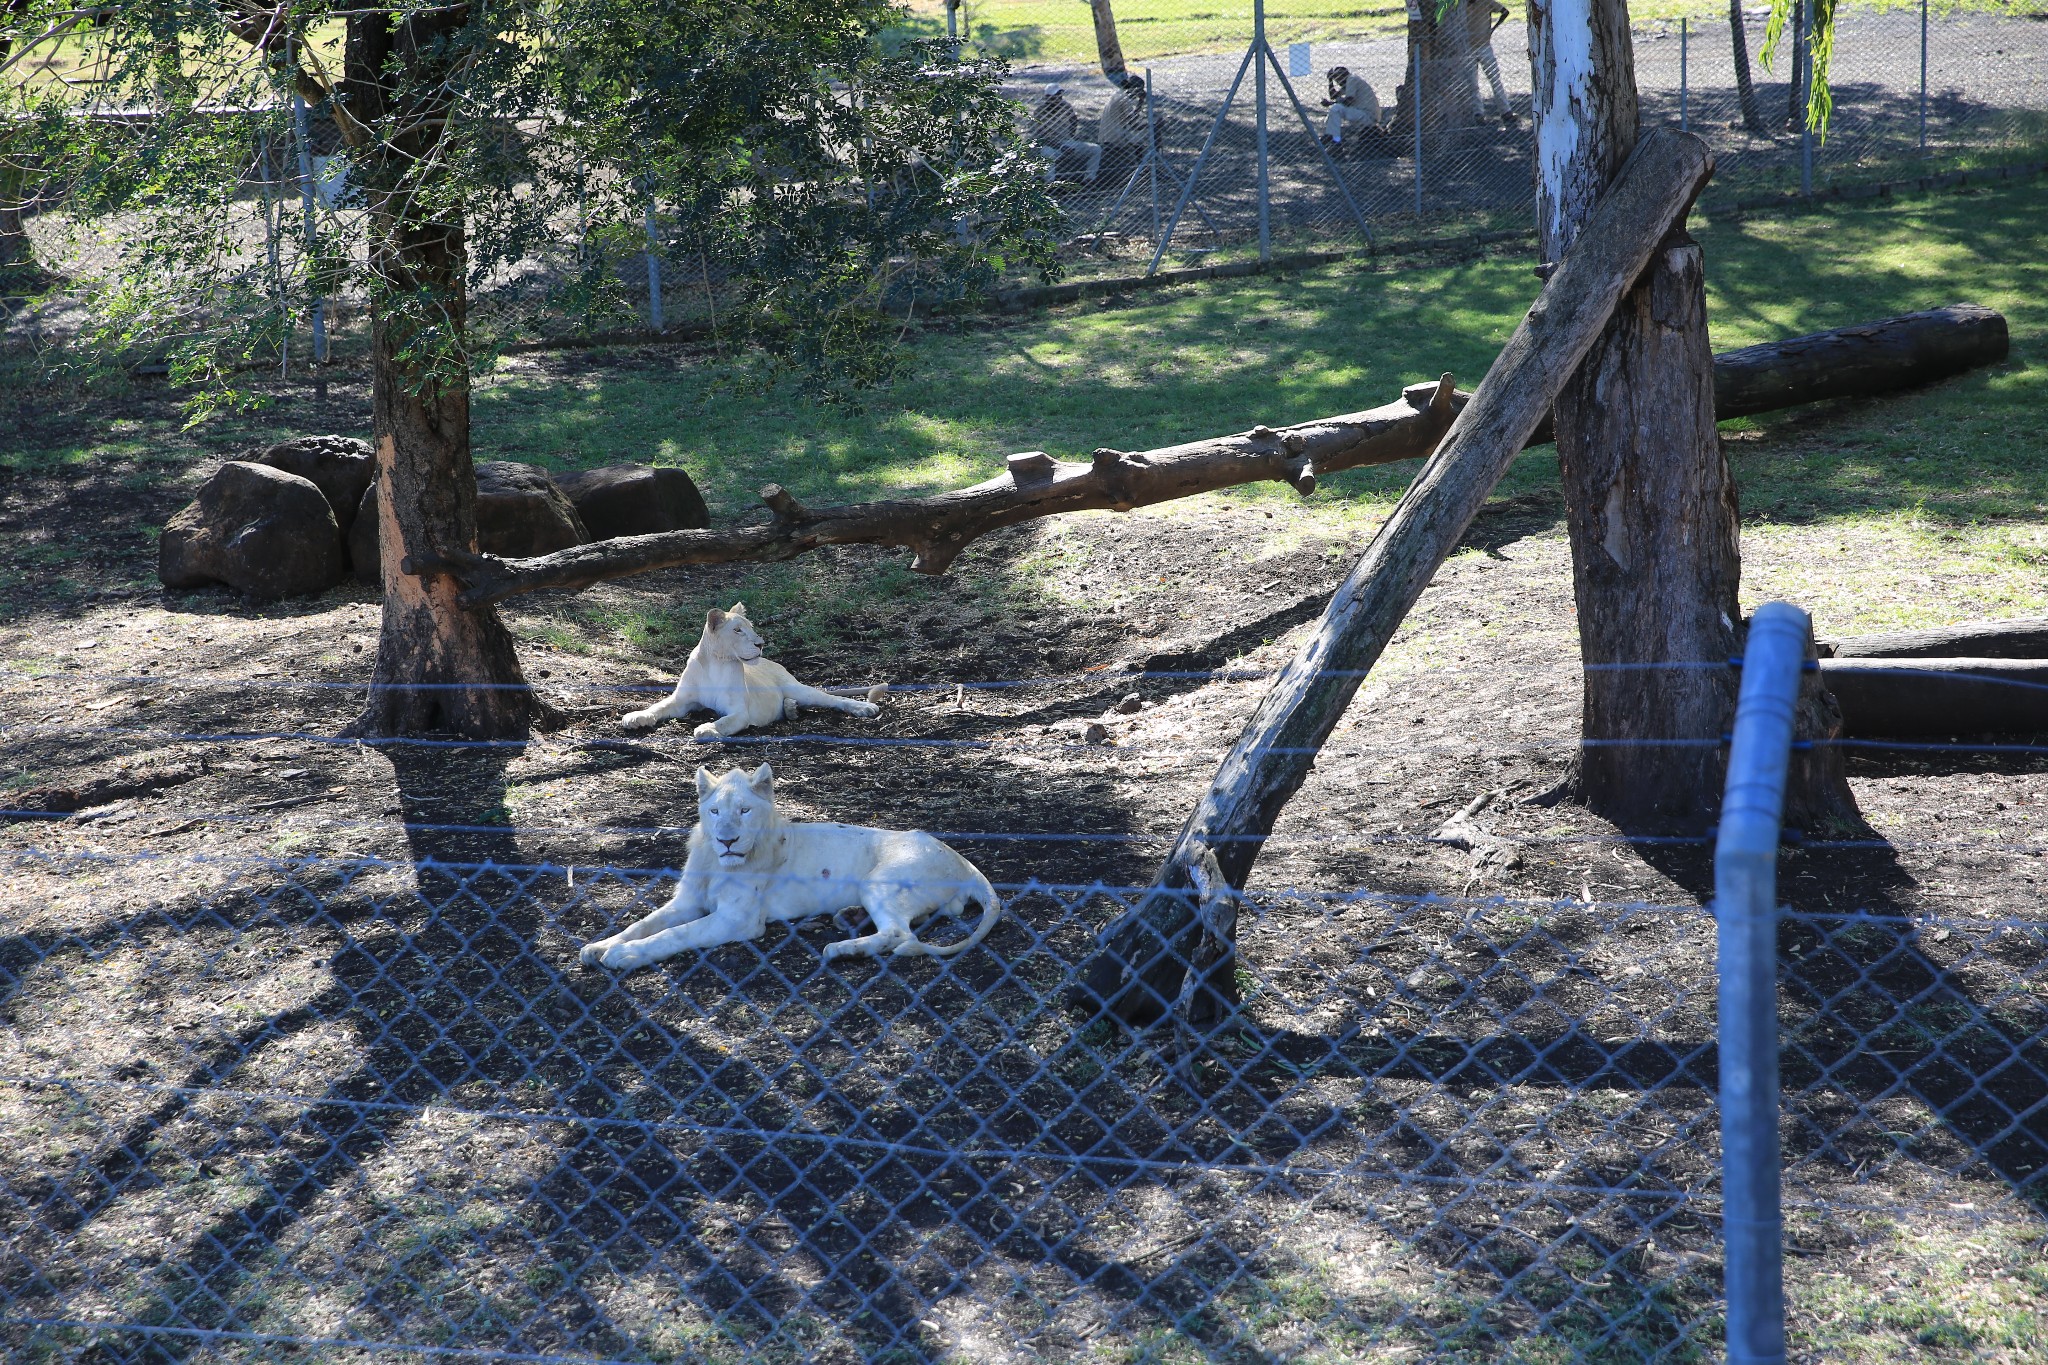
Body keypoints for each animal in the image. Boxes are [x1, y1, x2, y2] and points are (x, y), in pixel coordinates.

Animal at [577, 769, 999, 970]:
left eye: (744, 810)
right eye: (714, 811)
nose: (727, 840)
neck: (716, 862)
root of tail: (965, 864)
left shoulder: (738, 920)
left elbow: (675, 935)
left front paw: (626, 956)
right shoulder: (687, 901)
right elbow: (644, 923)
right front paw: (599, 946)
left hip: (879, 880)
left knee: (899, 934)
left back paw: (843, 949)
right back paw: (847, 919)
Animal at [622, 601, 880, 740]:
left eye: (752, 628)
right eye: (737, 630)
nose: (761, 643)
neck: (716, 664)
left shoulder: (739, 712)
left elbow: (723, 722)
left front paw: (707, 728)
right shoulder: (682, 700)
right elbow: (659, 706)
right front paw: (636, 717)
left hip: (799, 688)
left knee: (831, 699)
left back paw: (864, 708)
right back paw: (791, 709)